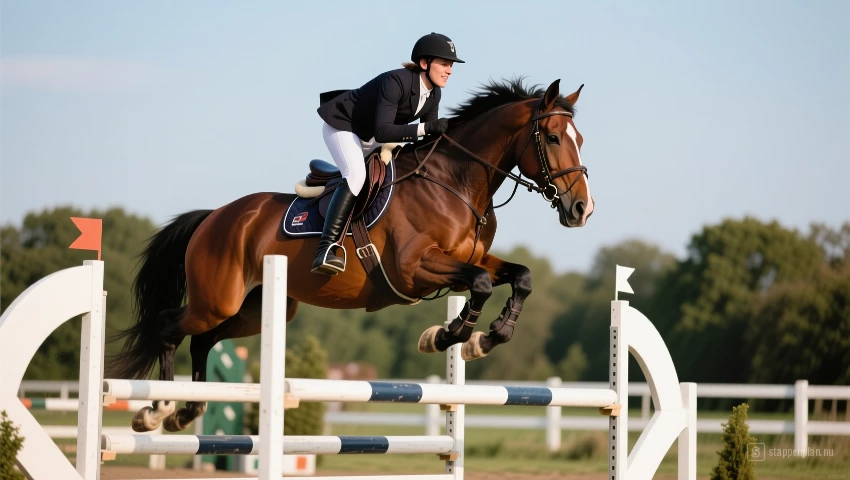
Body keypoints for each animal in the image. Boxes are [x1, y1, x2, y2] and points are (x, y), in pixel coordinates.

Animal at [107, 78, 594, 433]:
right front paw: (446, 336)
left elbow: (519, 276)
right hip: (217, 299)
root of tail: (215, 217)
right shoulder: (416, 268)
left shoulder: (467, 261)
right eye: (553, 138)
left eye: (581, 139)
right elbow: (478, 284)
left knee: (203, 340)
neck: (455, 183)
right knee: (169, 327)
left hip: (254, 309)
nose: (581, 210)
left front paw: (484, 339)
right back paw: (156, 410)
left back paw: (187, 411)